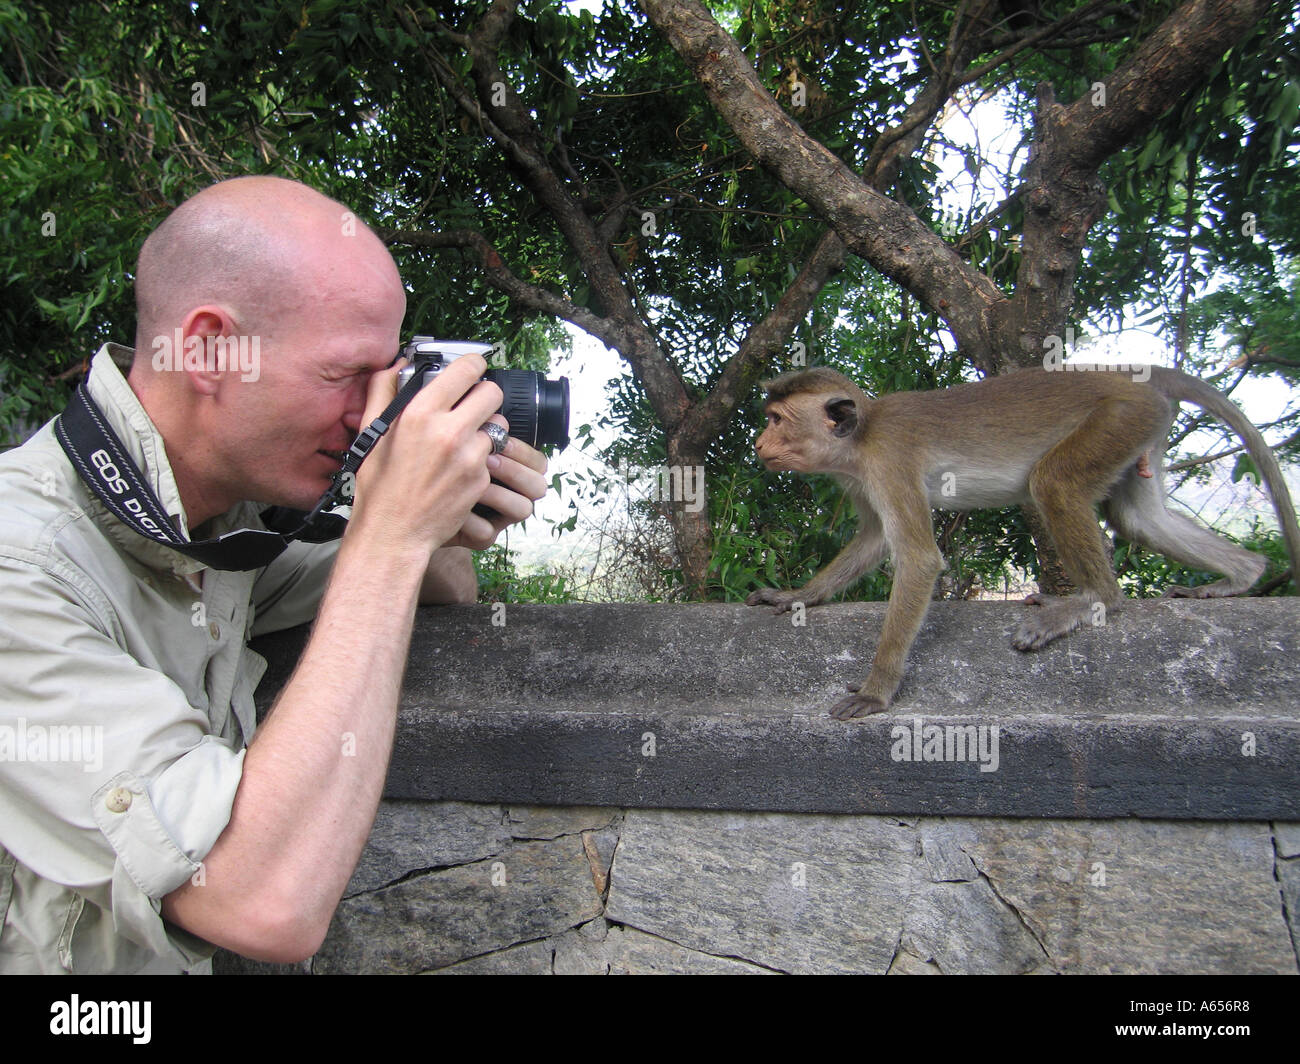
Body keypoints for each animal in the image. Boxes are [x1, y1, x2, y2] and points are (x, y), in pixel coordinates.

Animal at [748, 364, 1300, 723]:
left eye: (776, 420)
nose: (757, 442)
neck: (860, 440)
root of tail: (1132, 378)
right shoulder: (863, 477)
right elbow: (874, 540)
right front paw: (796, 596)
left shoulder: (890, 459)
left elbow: (920, 560)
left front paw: (878, 690)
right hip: (1142, 426)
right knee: (1141, 519)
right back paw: (1243, 574)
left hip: (1121, 415)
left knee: (1054, 482)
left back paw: (1095, 599)